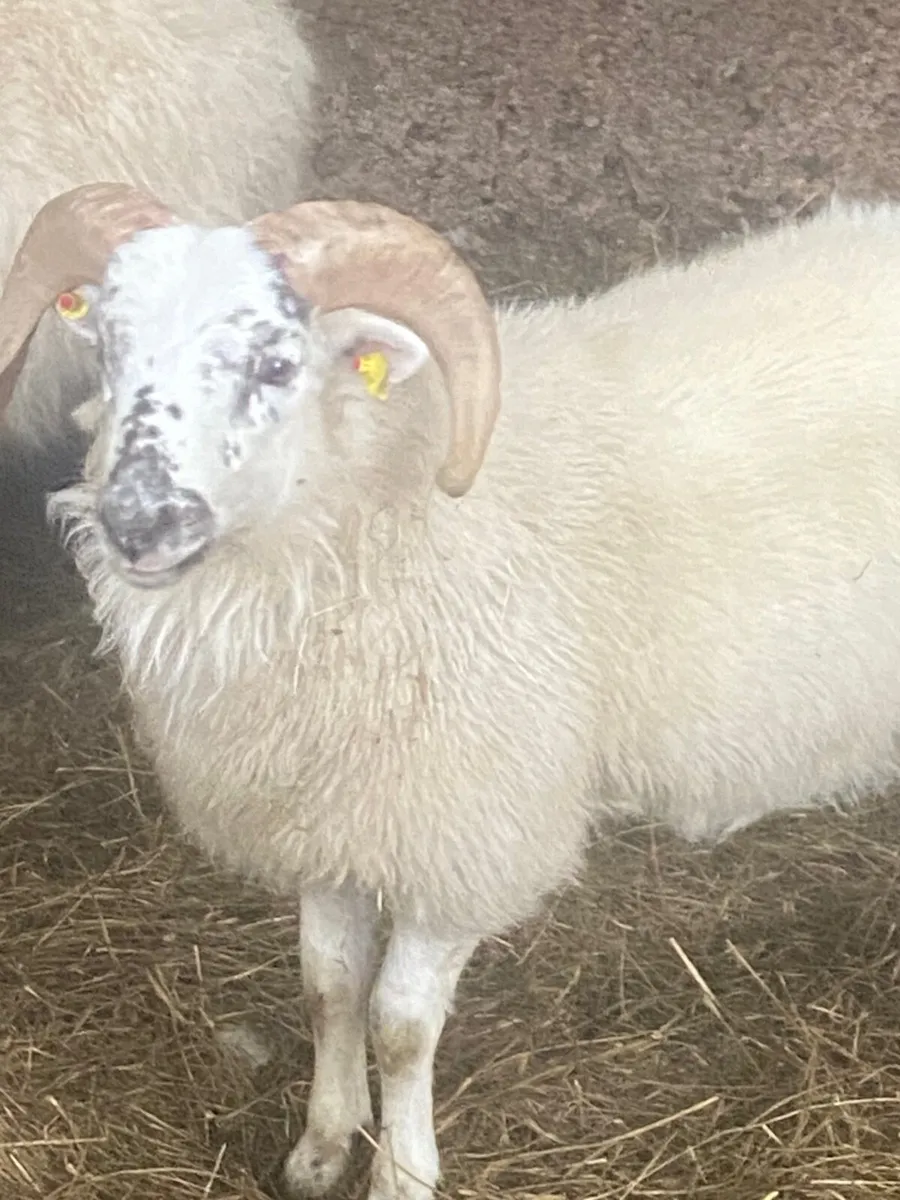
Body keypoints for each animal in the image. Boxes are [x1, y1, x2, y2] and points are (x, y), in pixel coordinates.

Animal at [3, 183, 900, 1199]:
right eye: (109, 347)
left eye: (277, 361)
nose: (139, 522)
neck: (370, 517)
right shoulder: (329, 817)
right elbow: (328, 984)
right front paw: (323, 1145)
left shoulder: (459, 833)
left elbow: (398, 1023)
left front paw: (401, 1172)